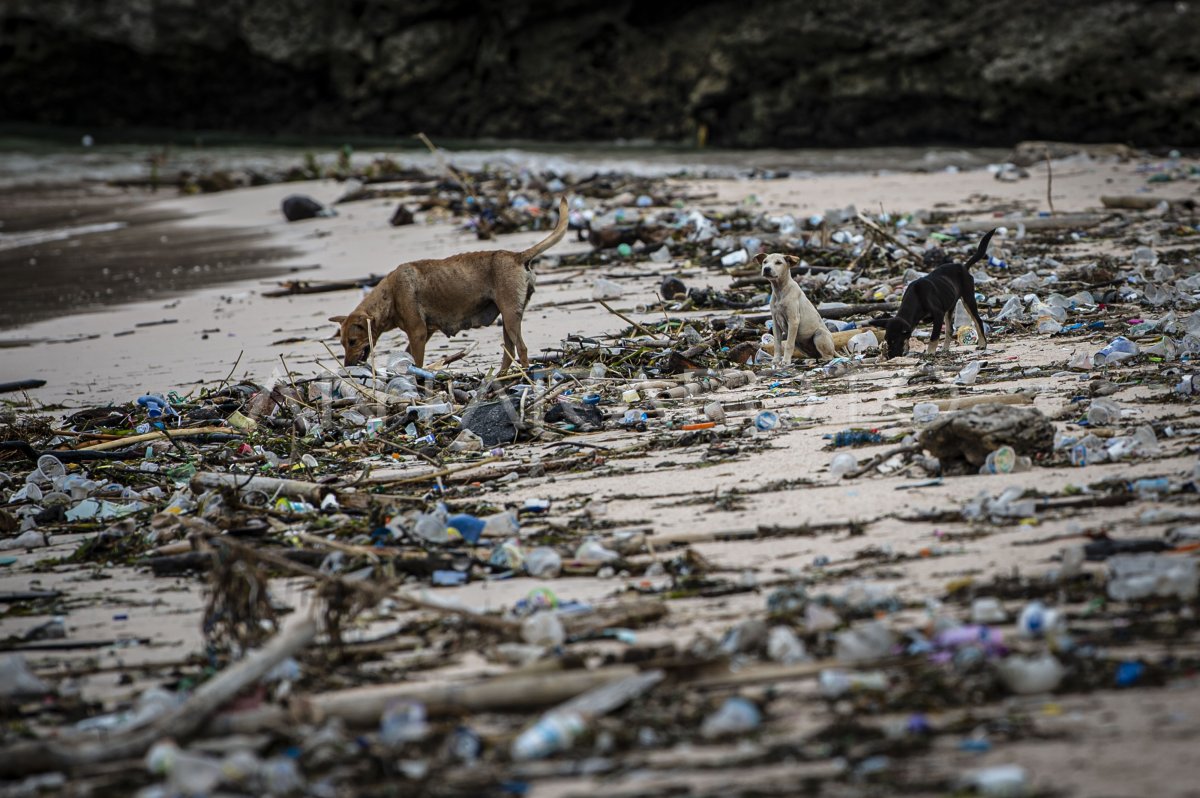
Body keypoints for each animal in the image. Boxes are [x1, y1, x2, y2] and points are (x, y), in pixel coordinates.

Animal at [331, 199, 568, 374]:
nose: (347, 367)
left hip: (510, 315)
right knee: (509, 351)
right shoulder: (423, 333)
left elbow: (417, 361)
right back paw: (500, 376)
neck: (389, 295)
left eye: (352, 341)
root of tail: (517, 256)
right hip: (508, 318)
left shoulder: (417, 333)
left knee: (521, 348)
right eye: (342, 343)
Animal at [883, 226, 993, 357]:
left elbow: (934, 337)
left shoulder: (938, 314)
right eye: (887, 340)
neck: (916, 298)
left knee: (978, 320)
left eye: (895, 340)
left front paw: (930, 352)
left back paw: (982, 344)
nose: (890, 357)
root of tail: (964, 267)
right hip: (949, 306)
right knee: (950, 329)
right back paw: (945, 349)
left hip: (968, 298)